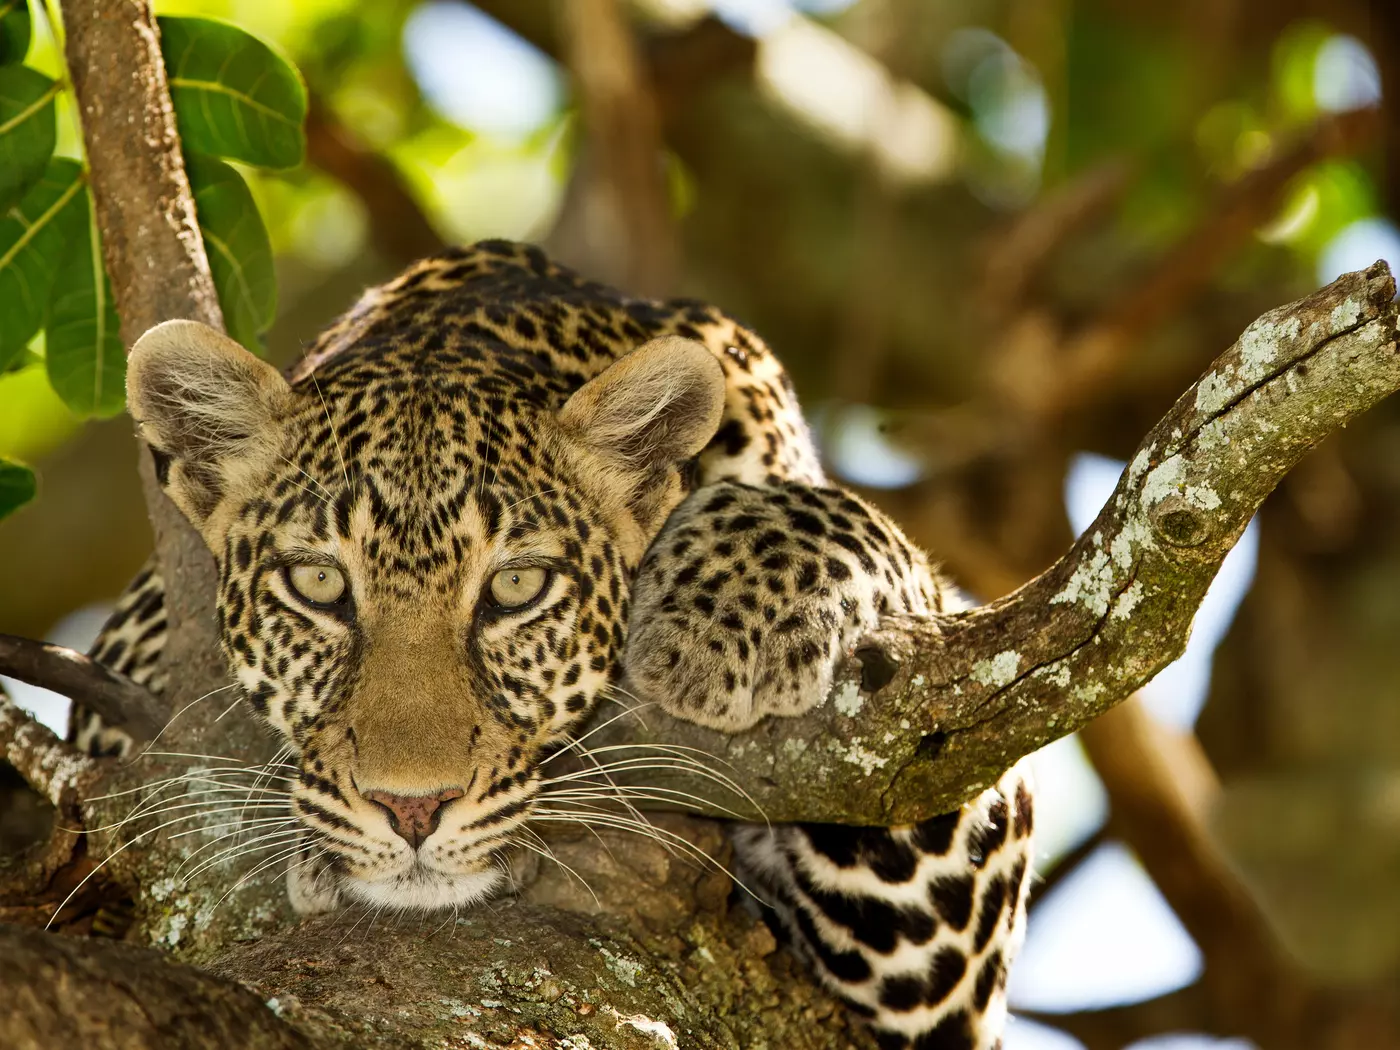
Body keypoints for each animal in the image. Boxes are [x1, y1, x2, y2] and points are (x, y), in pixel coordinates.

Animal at [70, 240, 1033, 1050]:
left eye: (516, 589)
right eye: (317, 585)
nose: (412, 810)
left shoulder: (936, 977)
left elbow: (850, 528)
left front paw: (718, 625)